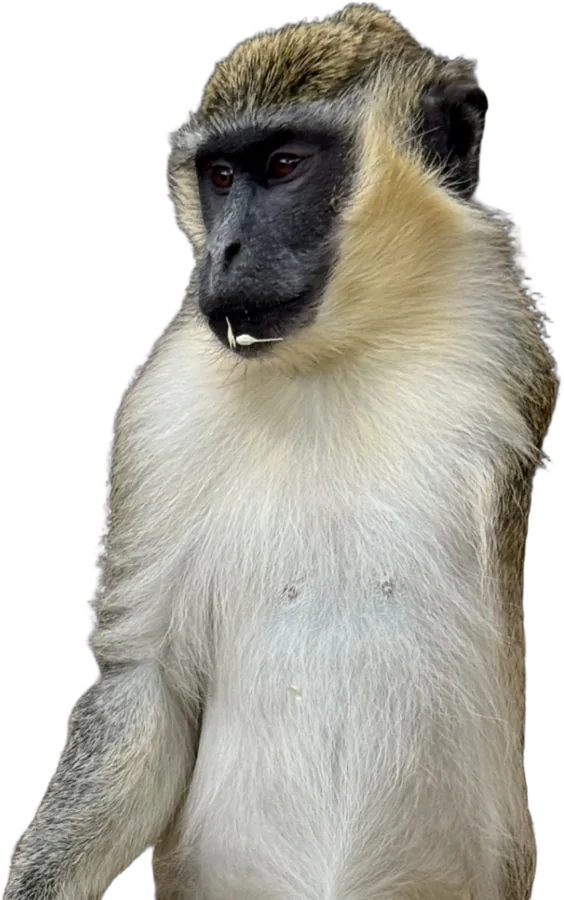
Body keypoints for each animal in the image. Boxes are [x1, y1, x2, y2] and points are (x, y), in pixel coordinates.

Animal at [5, 4, 556, 899]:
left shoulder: (499, 331)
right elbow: (149, 679)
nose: (223, 251)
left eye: (285, 166)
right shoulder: (159, 406)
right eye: (222, 178)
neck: (327, 363)